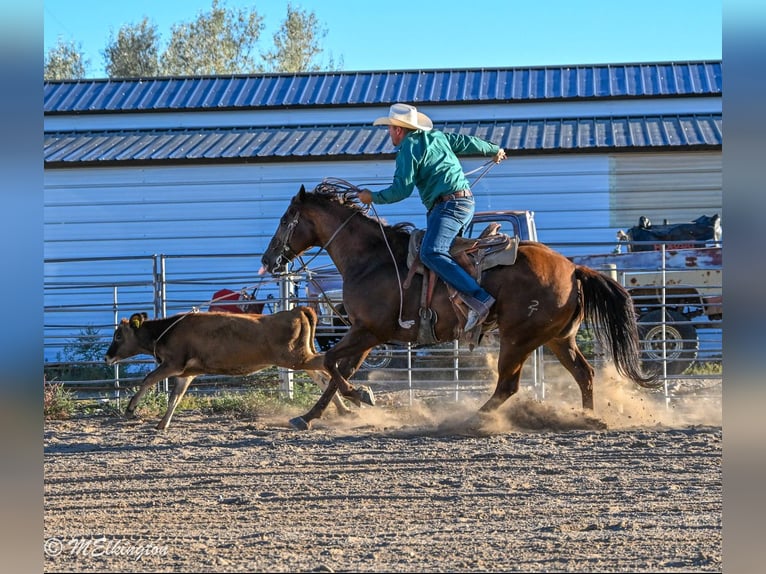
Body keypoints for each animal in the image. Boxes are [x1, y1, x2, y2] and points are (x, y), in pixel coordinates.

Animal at [260, 184, 661, 429]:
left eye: (285, 220)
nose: (268, 260)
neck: (371, 259)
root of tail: (573, 267)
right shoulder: (366, 336)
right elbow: (334, 370)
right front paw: (309, 416)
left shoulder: (367, 331)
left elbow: (329, 363)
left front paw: (361, 396)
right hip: (559, 338)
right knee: (584, 374)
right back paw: (585, 417)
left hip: (518, 339)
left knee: (508, 386)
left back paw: (470, 419)